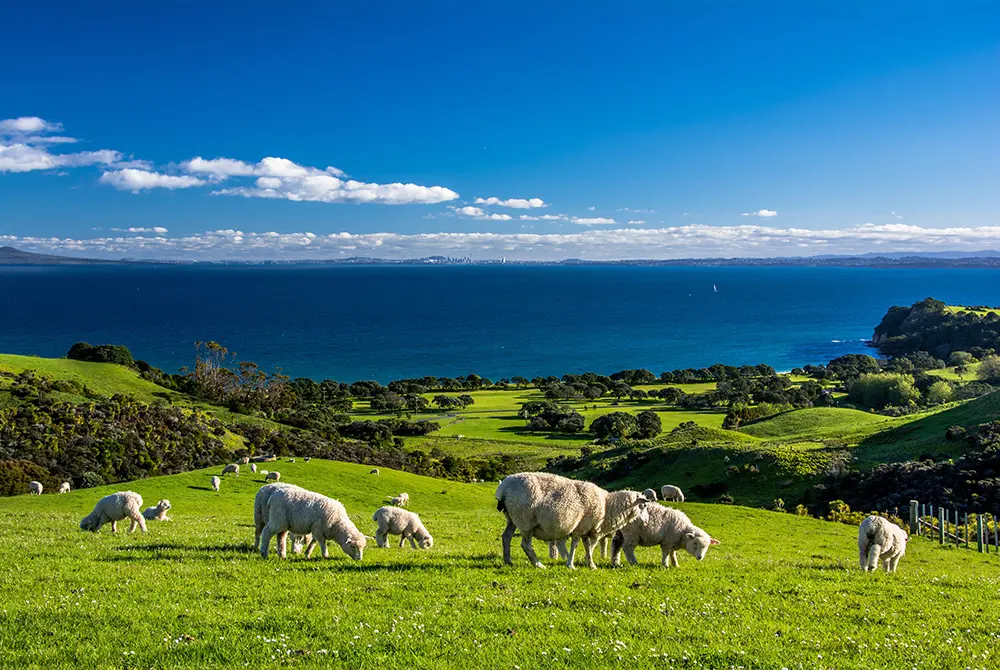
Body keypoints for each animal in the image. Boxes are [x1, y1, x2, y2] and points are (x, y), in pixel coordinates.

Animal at [496, 472, 652, 572]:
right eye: (643, 505)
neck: (608, 506)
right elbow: (578, 546)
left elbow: (587, 547)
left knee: (506, 537)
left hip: (512, 519)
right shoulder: (581, 528)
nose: (646, 522)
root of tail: (504, 487)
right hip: (525, 521)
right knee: (525, 545)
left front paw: (591, 565)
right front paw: (571, 564)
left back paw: (508, 560)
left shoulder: (586, 530)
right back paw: (538, 564)